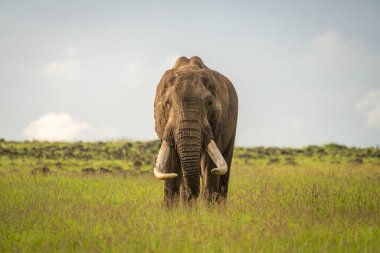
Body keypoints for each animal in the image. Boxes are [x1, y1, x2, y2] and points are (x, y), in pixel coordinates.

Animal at [152, 55, 238, 206]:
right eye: (167, 103)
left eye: (209, 103)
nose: (195, 193)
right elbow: (170, 165)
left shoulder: (216, 125)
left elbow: (210, 167)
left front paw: (210, 210)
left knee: (224, 172)